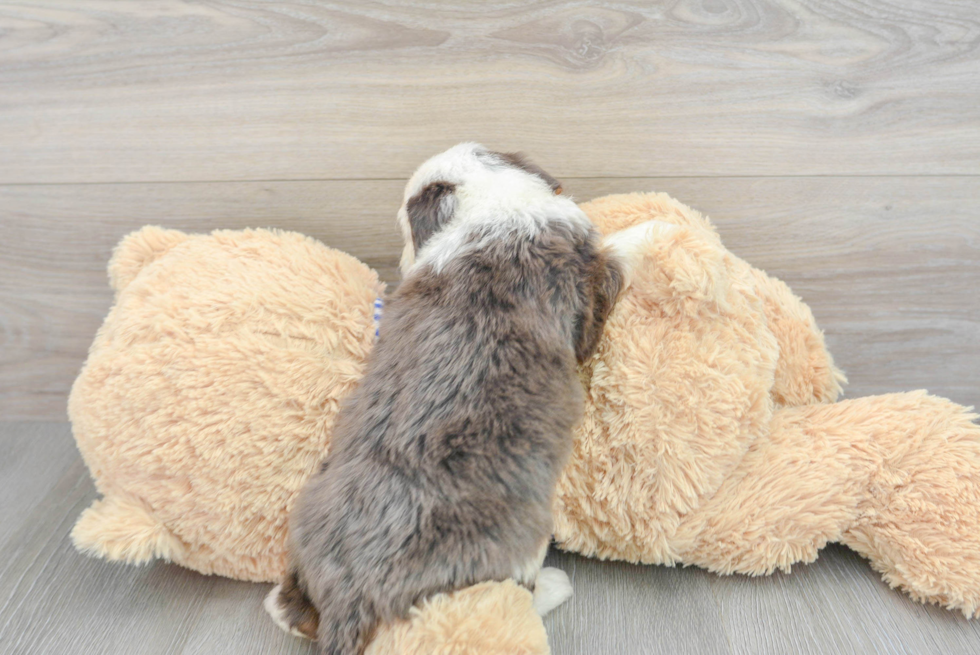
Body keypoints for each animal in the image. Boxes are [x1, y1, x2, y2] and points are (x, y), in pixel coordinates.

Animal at [262, 144, 628, 655]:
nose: (400, 260)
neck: (493, 203)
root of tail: (348, 599)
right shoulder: (589, 287)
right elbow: (620, 258)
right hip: (520, 538)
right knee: (513, 594)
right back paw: (555, 586)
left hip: (309, 515)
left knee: (287, 608)